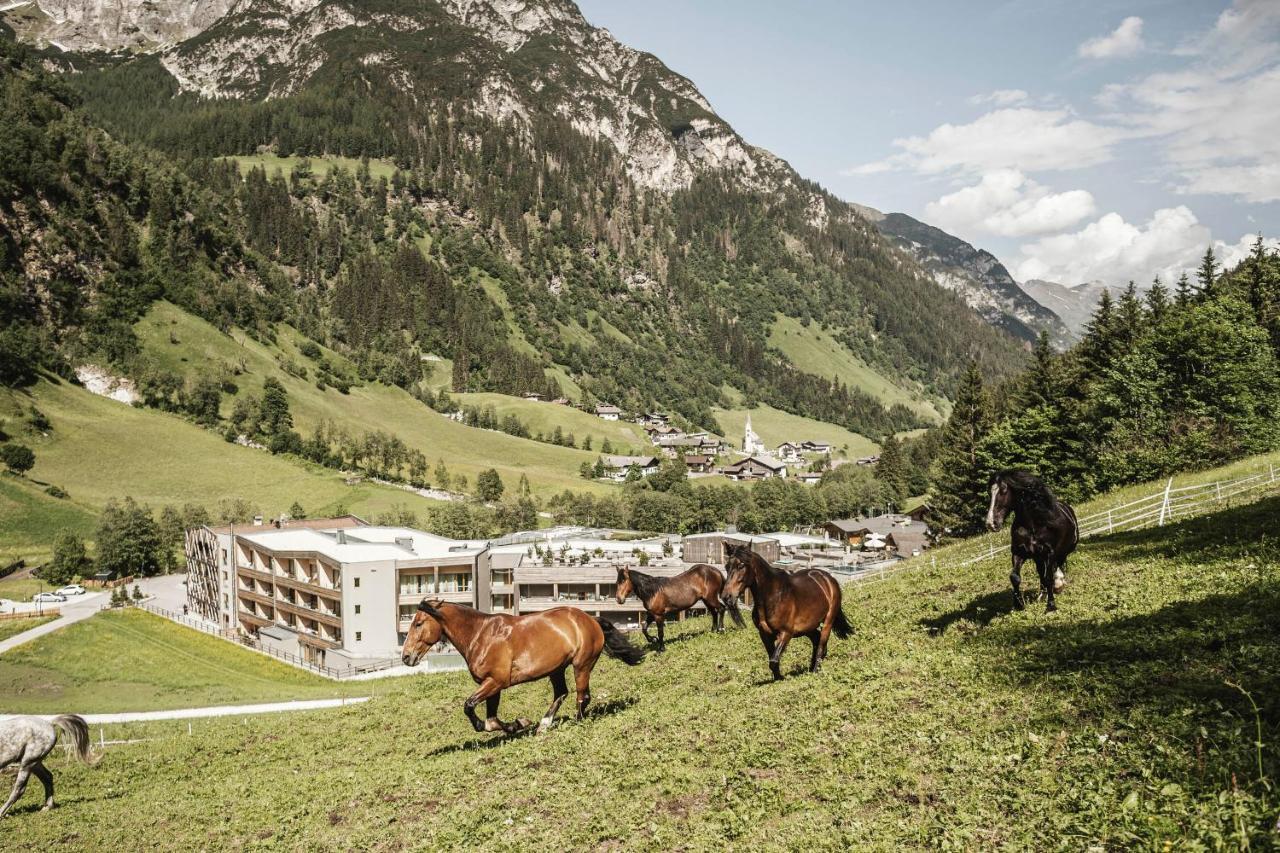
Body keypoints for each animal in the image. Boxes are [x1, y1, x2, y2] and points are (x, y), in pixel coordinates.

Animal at [399, 596, 645, 732]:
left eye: (418, 623)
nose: (406, 657)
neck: (481, 635)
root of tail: (590, 619)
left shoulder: (496, 681)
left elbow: (469, 706)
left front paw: (516, 724)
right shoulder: (492, 684)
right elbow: (492, 719)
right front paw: (519, 724)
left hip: (581, 665)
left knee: (582, 696)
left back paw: (576, 721)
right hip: (556, 669)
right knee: (562, 693)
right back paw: (544, 725)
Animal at [614, 560, 747, 648]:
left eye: (624, 580)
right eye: (617, 582)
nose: (619, 599)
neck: (653, 591)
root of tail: (716, 571)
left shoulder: (659, 615)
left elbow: (660, 632)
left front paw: (660, 648)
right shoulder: (651, 614)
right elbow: (644, 628)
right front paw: (653, 640)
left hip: (711, 598)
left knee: (721, 609)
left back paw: (721, 629)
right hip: (706, 600)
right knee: (714, 612)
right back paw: (713, 630)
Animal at [721, 545, 849, 676]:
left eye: (741, 565)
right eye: (726, 566)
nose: (727, 597)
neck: (773, 596)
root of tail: (828, 578)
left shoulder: (786, 633)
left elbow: (773, 661)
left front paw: (782, 678)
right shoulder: (764, 634)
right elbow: (772, 662)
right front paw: (778, 677)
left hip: (828, 622)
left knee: (821, 647)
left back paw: (814, 671)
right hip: (807, 627)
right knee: (816, 639)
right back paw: (809, 669)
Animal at [988, 466, 1080, 612]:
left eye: (1003, 490)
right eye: (989, 493)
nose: (991, 523)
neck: (1033, 525)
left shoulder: (1049, 553)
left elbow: (1049, 577)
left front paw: (1051, 606)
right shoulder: (1019, 552)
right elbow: (1015, 577)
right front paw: (1018, 605)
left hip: (1063, 550)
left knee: (1057, 566)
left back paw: (1058, 585)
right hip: (1038, 557)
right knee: (1042, 572)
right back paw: (1042, 594)